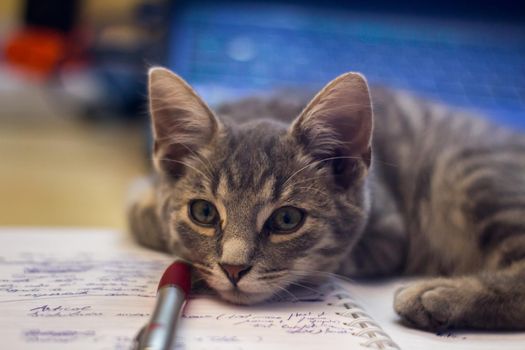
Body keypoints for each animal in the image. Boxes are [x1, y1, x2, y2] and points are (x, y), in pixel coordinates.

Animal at [129, 67, 524, 332]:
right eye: (204, 212)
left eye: (287, 220)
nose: (233, 269)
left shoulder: (389, 235)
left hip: (469, 168)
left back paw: (438, 293)